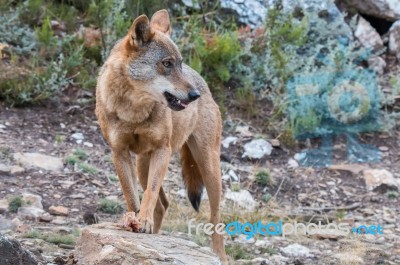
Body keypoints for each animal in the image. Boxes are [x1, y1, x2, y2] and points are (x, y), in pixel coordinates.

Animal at [93, 9, 225, 260]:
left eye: (179, 64)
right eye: (167, 64)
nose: (194, 95)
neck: (133, 110)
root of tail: (204, 83)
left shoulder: (161, 150)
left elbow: (150, 194)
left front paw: (142, 221)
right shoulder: (119, 152)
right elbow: (132, 195)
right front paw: (135, 222)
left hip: (207, 166)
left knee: (216, 218)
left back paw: (219, 255)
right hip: (142, 165)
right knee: (163, 204)